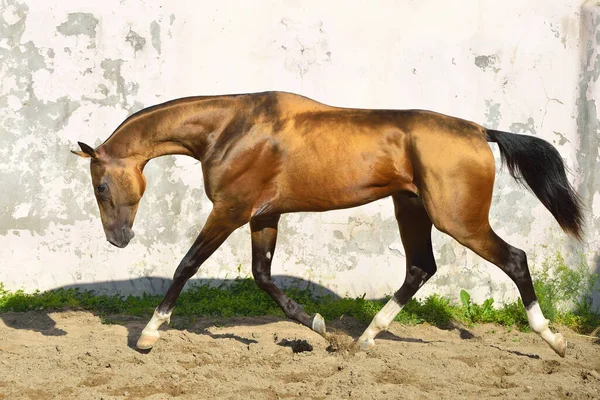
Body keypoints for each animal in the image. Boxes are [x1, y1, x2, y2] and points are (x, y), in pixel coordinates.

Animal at [70, 90, 580, 356]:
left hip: (459, 220)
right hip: (411, 208)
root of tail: (481, 131)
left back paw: (553, 340)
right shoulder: (264, 215)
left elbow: (186, 266)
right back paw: (364, 339)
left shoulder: (231, 210)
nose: (118, 239)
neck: (230, 129)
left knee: (514, 259)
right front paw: (320, 328)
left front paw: (149, 334)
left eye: (100, 186)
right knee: (420, 268)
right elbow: (263, 276)